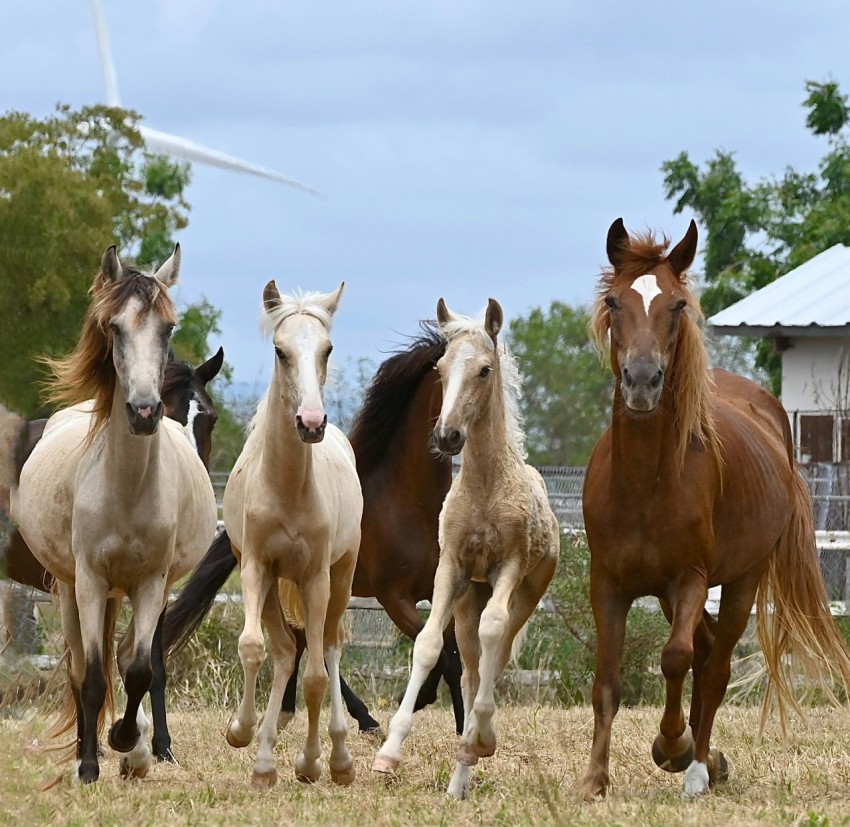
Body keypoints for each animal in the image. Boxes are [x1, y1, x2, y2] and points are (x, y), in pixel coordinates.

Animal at [11, 244, 217, 784]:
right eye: (115, 327)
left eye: (168, 327)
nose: (144, 413)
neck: (126, 489)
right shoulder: (88, 581)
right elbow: (92, 677)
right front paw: (90, 764)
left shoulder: (151, 584)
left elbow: (141, 668)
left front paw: (129, 741)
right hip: (70, 590)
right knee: (82, 669)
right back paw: (87, 754)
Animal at [159, 326, 464, 736]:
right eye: (446, 376)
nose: (457, 436)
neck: (409, 501)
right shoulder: (394, 598)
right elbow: (441, 654)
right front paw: (427, 710)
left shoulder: (440, 588)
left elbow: (450, 652)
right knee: (306, 639)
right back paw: (356, 717)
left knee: (302, 639)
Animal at [222, 282, 362, 784]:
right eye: (280, 351)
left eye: (327, 349)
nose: (311, 422)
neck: (287, 488)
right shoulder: (255, 567)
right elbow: (253, 648)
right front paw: (241, 732)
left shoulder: (316, 577)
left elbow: (316, 675)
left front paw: (311, 761)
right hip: (271, 582)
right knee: (283, 650)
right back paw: (264, 759)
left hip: (341, 576)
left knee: (331, 649)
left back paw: (336, 758)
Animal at [372, 300, 556, 800]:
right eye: (440, 368)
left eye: (484, 370)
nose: (448, 435)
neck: (484, 488)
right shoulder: (451, 568)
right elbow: (428, 645)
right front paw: (388, 753)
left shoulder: (509, 566)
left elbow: (494, 635)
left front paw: (480, 738)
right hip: (469, 597)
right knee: (472, 666)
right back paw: (459, 781)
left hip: (525, 590)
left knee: (498, 650)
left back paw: (478, 742)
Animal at [580, 220, 850, 804]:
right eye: (614, 302)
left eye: (677, 305)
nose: (642, 381)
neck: (643, 483)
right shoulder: (608, 582)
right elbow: (607, 679)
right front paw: (594, 779)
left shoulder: (690, 578)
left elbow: (675, 659)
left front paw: (674, 747)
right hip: (666, 592)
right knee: (704, 652)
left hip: (740, 582)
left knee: (715, 662)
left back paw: (699, 765)